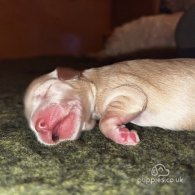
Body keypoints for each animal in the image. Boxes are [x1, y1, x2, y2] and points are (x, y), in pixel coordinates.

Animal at [24, 58, 195, 145]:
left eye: (46, 91)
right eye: (32, 128)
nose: (39, 126)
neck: (93, 82)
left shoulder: (131, 92)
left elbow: (103, 122)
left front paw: (120, 134)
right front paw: (120, 133)